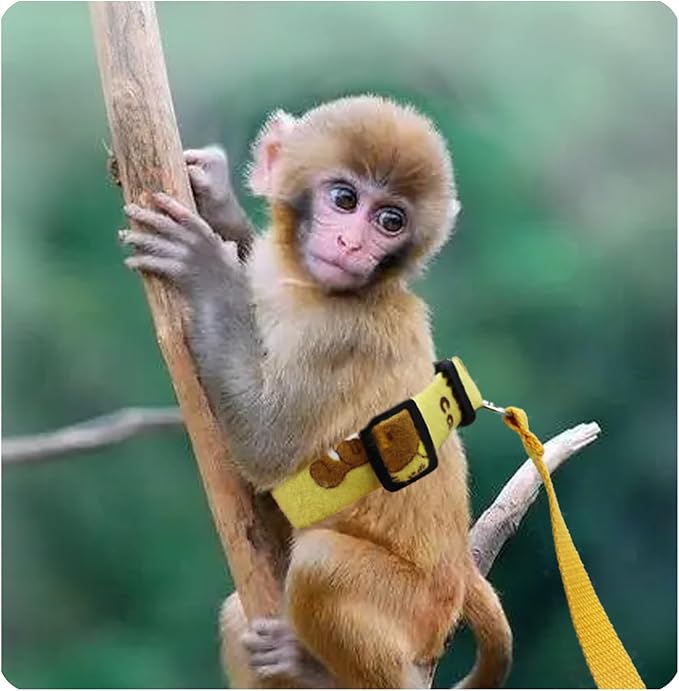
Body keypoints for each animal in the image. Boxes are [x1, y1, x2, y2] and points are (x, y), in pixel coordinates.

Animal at [119, 95, 512, 688]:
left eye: (390, 221)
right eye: (345, 199)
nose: (351, 243)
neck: (304, 284)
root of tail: (461, 576)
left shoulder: (340, 339)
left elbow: (267, 445)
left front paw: (202, 265)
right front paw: (218, 200)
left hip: (415, 611)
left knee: (322, 565)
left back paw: (314, 665)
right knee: (239, 616)